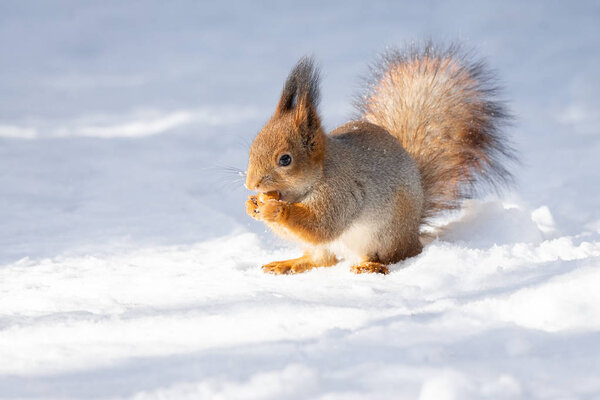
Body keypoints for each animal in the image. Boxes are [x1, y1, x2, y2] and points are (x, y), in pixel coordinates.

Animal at [244, 43, 516, 276]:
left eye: (285, 159)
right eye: (252, 148)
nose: (251, 185)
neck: (317, 176)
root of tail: (413, 233)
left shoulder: (341, 192)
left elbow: (322, 225)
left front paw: (276, 209)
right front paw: (252, 204)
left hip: (384, 235)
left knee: (394, 257)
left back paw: (370, 266)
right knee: (322, 260)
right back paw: (288, 264)